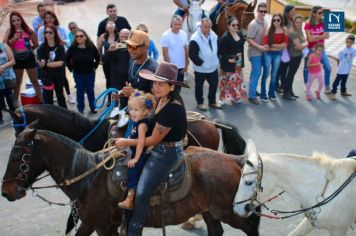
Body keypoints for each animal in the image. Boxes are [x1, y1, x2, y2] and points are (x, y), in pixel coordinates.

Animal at [1, 122, 260, 235]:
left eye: (18, 156)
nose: (6, 191)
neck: (88, 179)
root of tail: (235, 160)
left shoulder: (95, 224)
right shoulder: (102, 227)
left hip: (229, 211)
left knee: (249, 227)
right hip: (210, 211)